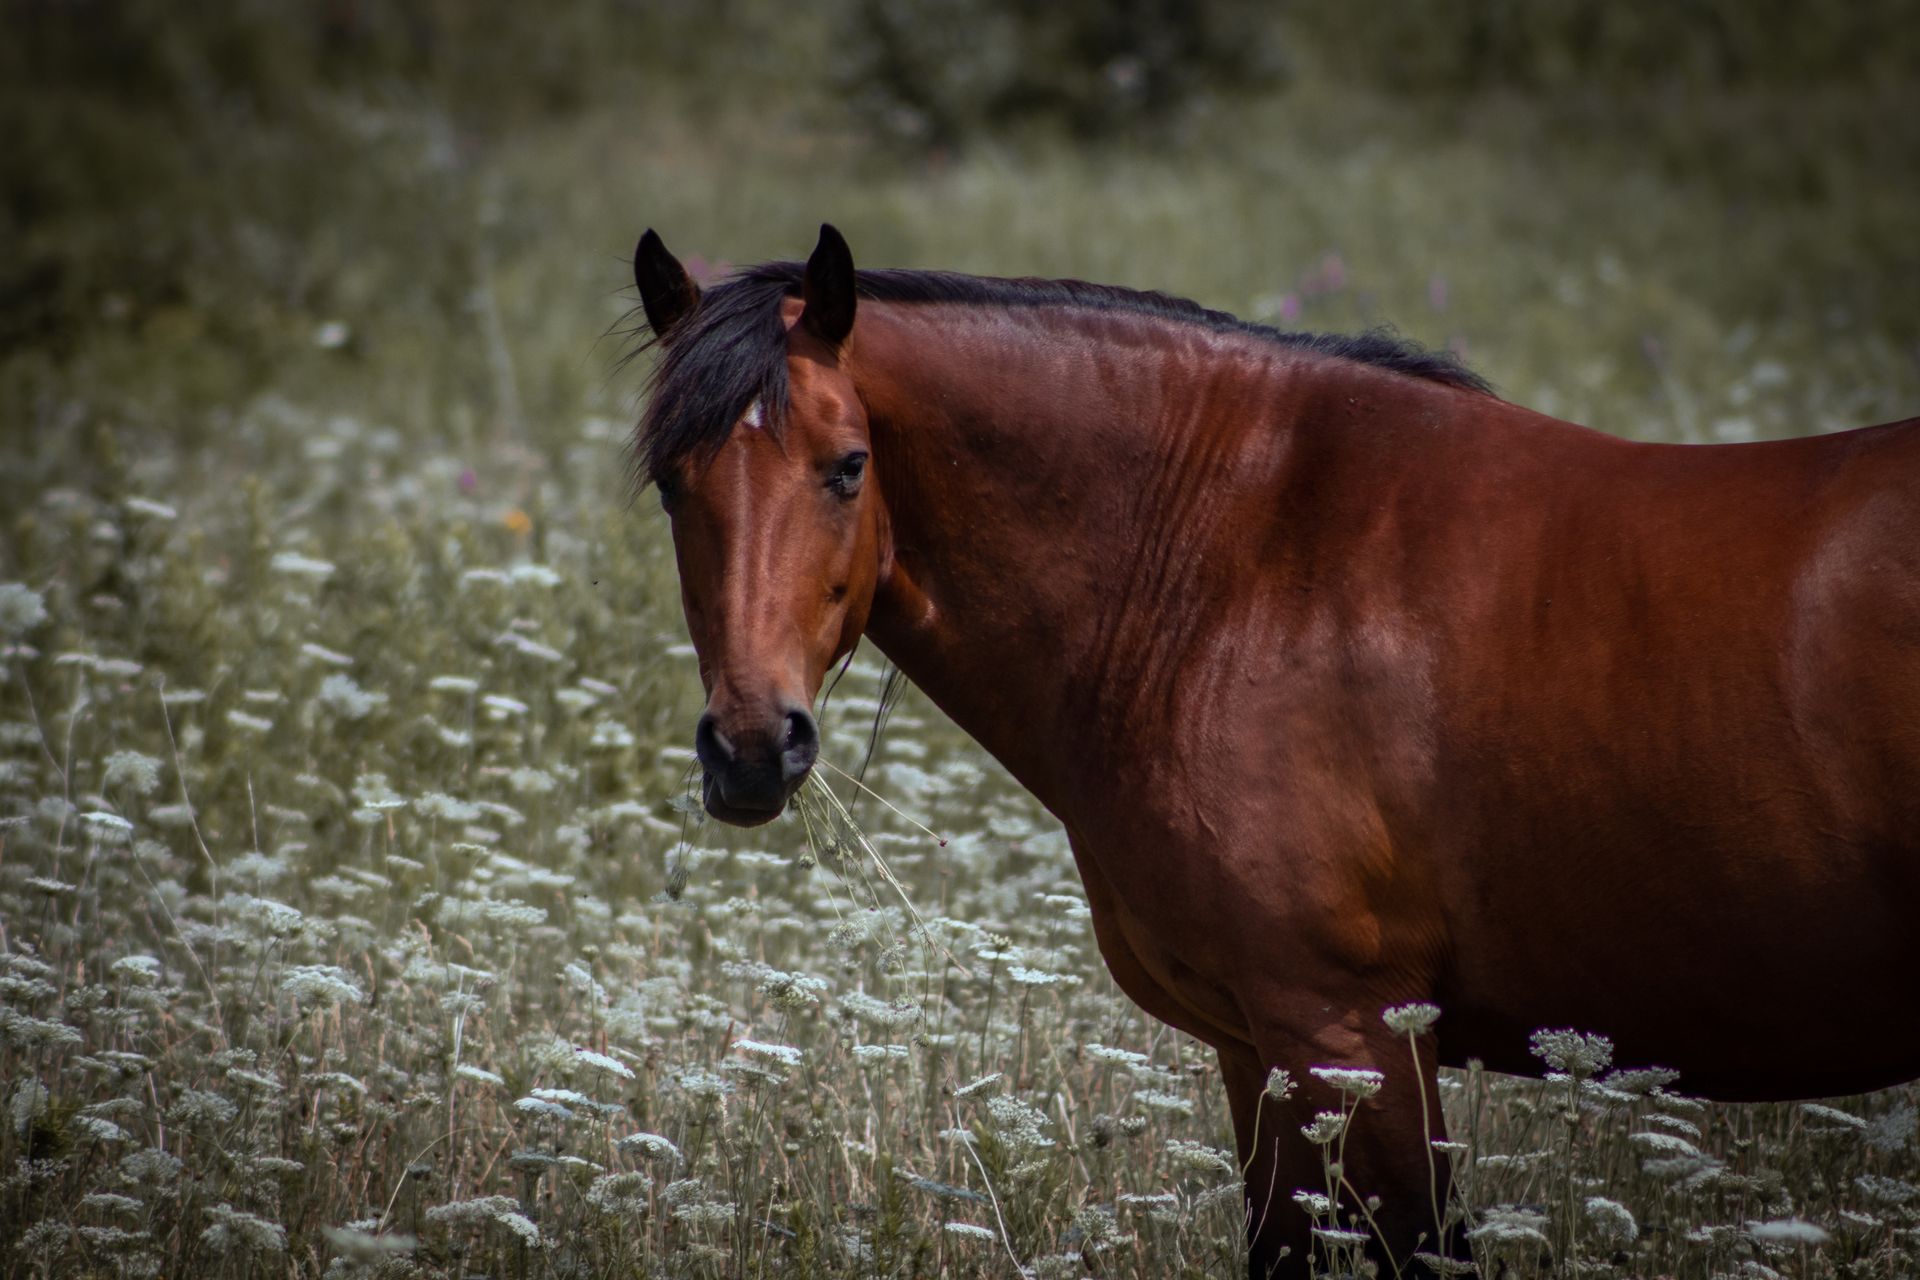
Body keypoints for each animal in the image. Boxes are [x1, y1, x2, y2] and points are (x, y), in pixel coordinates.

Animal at [628, 223, 1920, 1277]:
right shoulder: (1259, 1051)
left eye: (848, 466)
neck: (1232, 561)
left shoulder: (1352, 1034)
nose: (751, 746)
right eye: (669, 485)